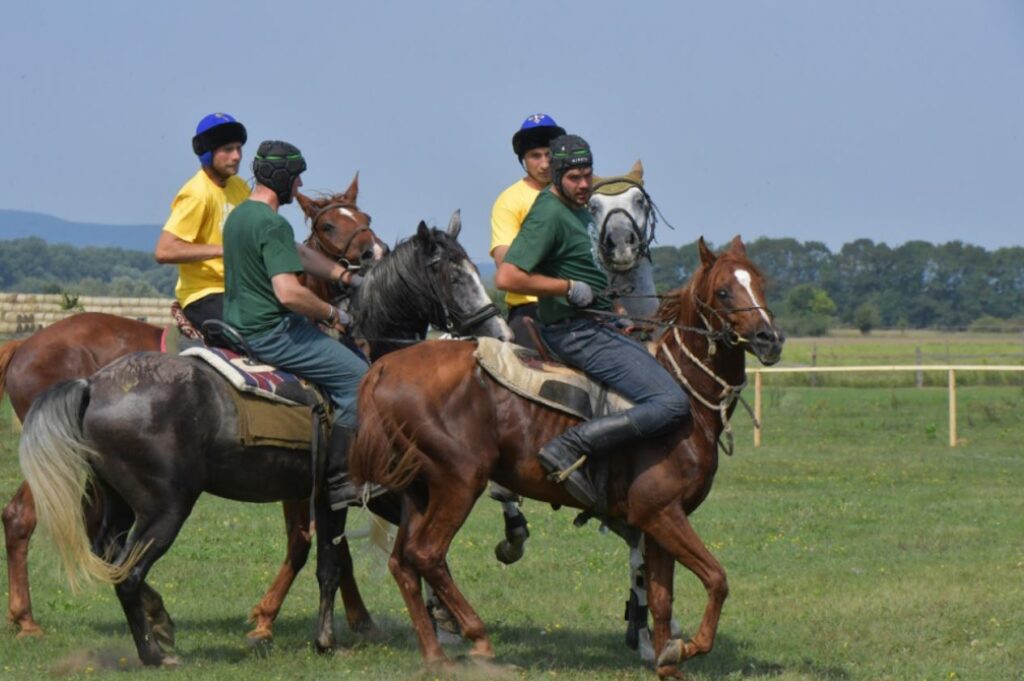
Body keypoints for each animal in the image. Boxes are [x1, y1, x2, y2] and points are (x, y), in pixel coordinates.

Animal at [0, 173, 382, 639]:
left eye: (364, 217)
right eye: (329, 226)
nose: (372, 252)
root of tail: (23, 345)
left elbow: (321, 541)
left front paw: (348, 616)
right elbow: (311, 540)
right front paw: (283, 617)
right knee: (25, 517)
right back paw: (27, 617)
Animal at [350, 236, 782, 675]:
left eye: (760, 283)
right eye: (724, 292)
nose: (770, 338)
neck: (686, 398)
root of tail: (384, 367)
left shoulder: (660, 520)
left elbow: (662, 599)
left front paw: (667, 660)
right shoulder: (661, 513)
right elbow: (716, 579)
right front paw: (686, 648)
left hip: (419, 492)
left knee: (403, 562)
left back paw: (436, 656)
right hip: (459, 482)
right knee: (428, 554)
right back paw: (477, 637)